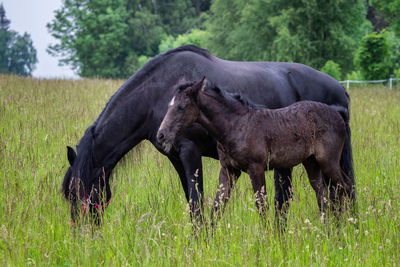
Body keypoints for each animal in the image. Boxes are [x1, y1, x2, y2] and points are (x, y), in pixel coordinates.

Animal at [156, 80, 354, 226]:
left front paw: (269, 241)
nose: (161, 134)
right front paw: (206, 241)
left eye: (181, 107)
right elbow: (218, 206)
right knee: (323, 194)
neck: (235, 125)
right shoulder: (229, 170)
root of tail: (338, 115)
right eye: (169, 106)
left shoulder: (256, 168)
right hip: (311, 162)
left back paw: (349, 227)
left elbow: (261, 205)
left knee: (346, 187)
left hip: (328, 161)